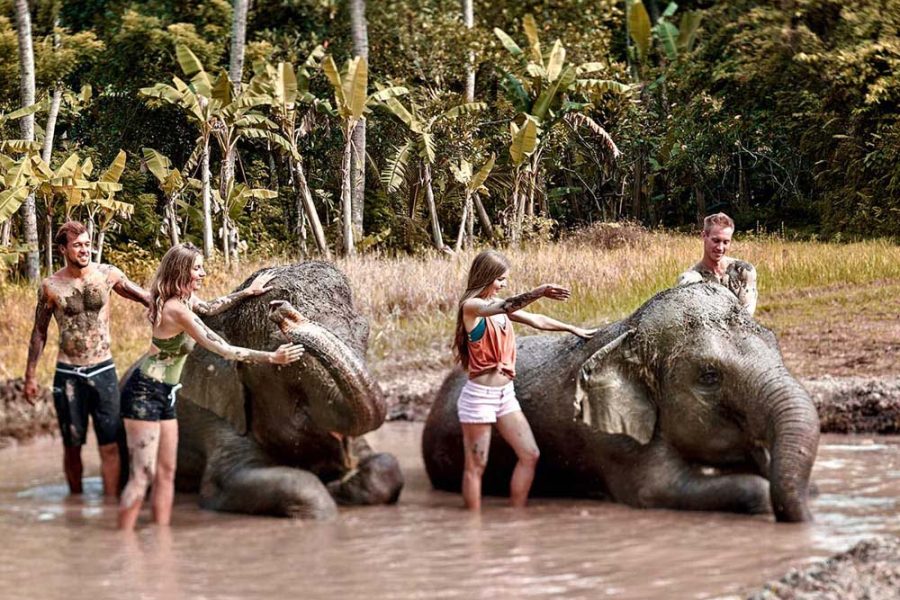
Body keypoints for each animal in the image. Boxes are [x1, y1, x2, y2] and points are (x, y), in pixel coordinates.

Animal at [172, 262, 404, 519]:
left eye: (365, 331)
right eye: (279, 344)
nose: (281, 309)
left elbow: (386, 466)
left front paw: (339, 484)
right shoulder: (214, 414)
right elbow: (227, 481)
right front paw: (328, 496)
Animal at [423, 282, 819, 522]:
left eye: (776, 344)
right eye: (709, 376)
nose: (809, 524)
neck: (628, 333)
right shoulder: (611, 440)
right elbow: (655, 488)